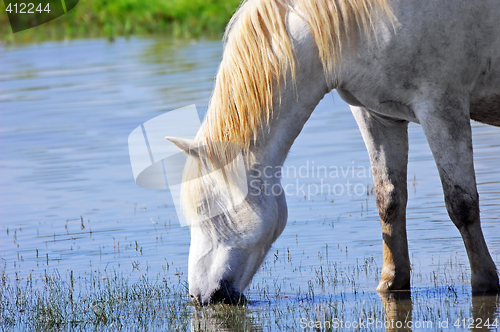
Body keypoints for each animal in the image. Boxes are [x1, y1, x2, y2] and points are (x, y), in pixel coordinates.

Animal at [166, 0, 498, 304]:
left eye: (207, 209)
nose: (200, 296)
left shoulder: (442, 106)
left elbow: (461, 204)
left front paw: (484, 284)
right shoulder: (377, 116)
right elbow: (389, 202)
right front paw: (391, 284)